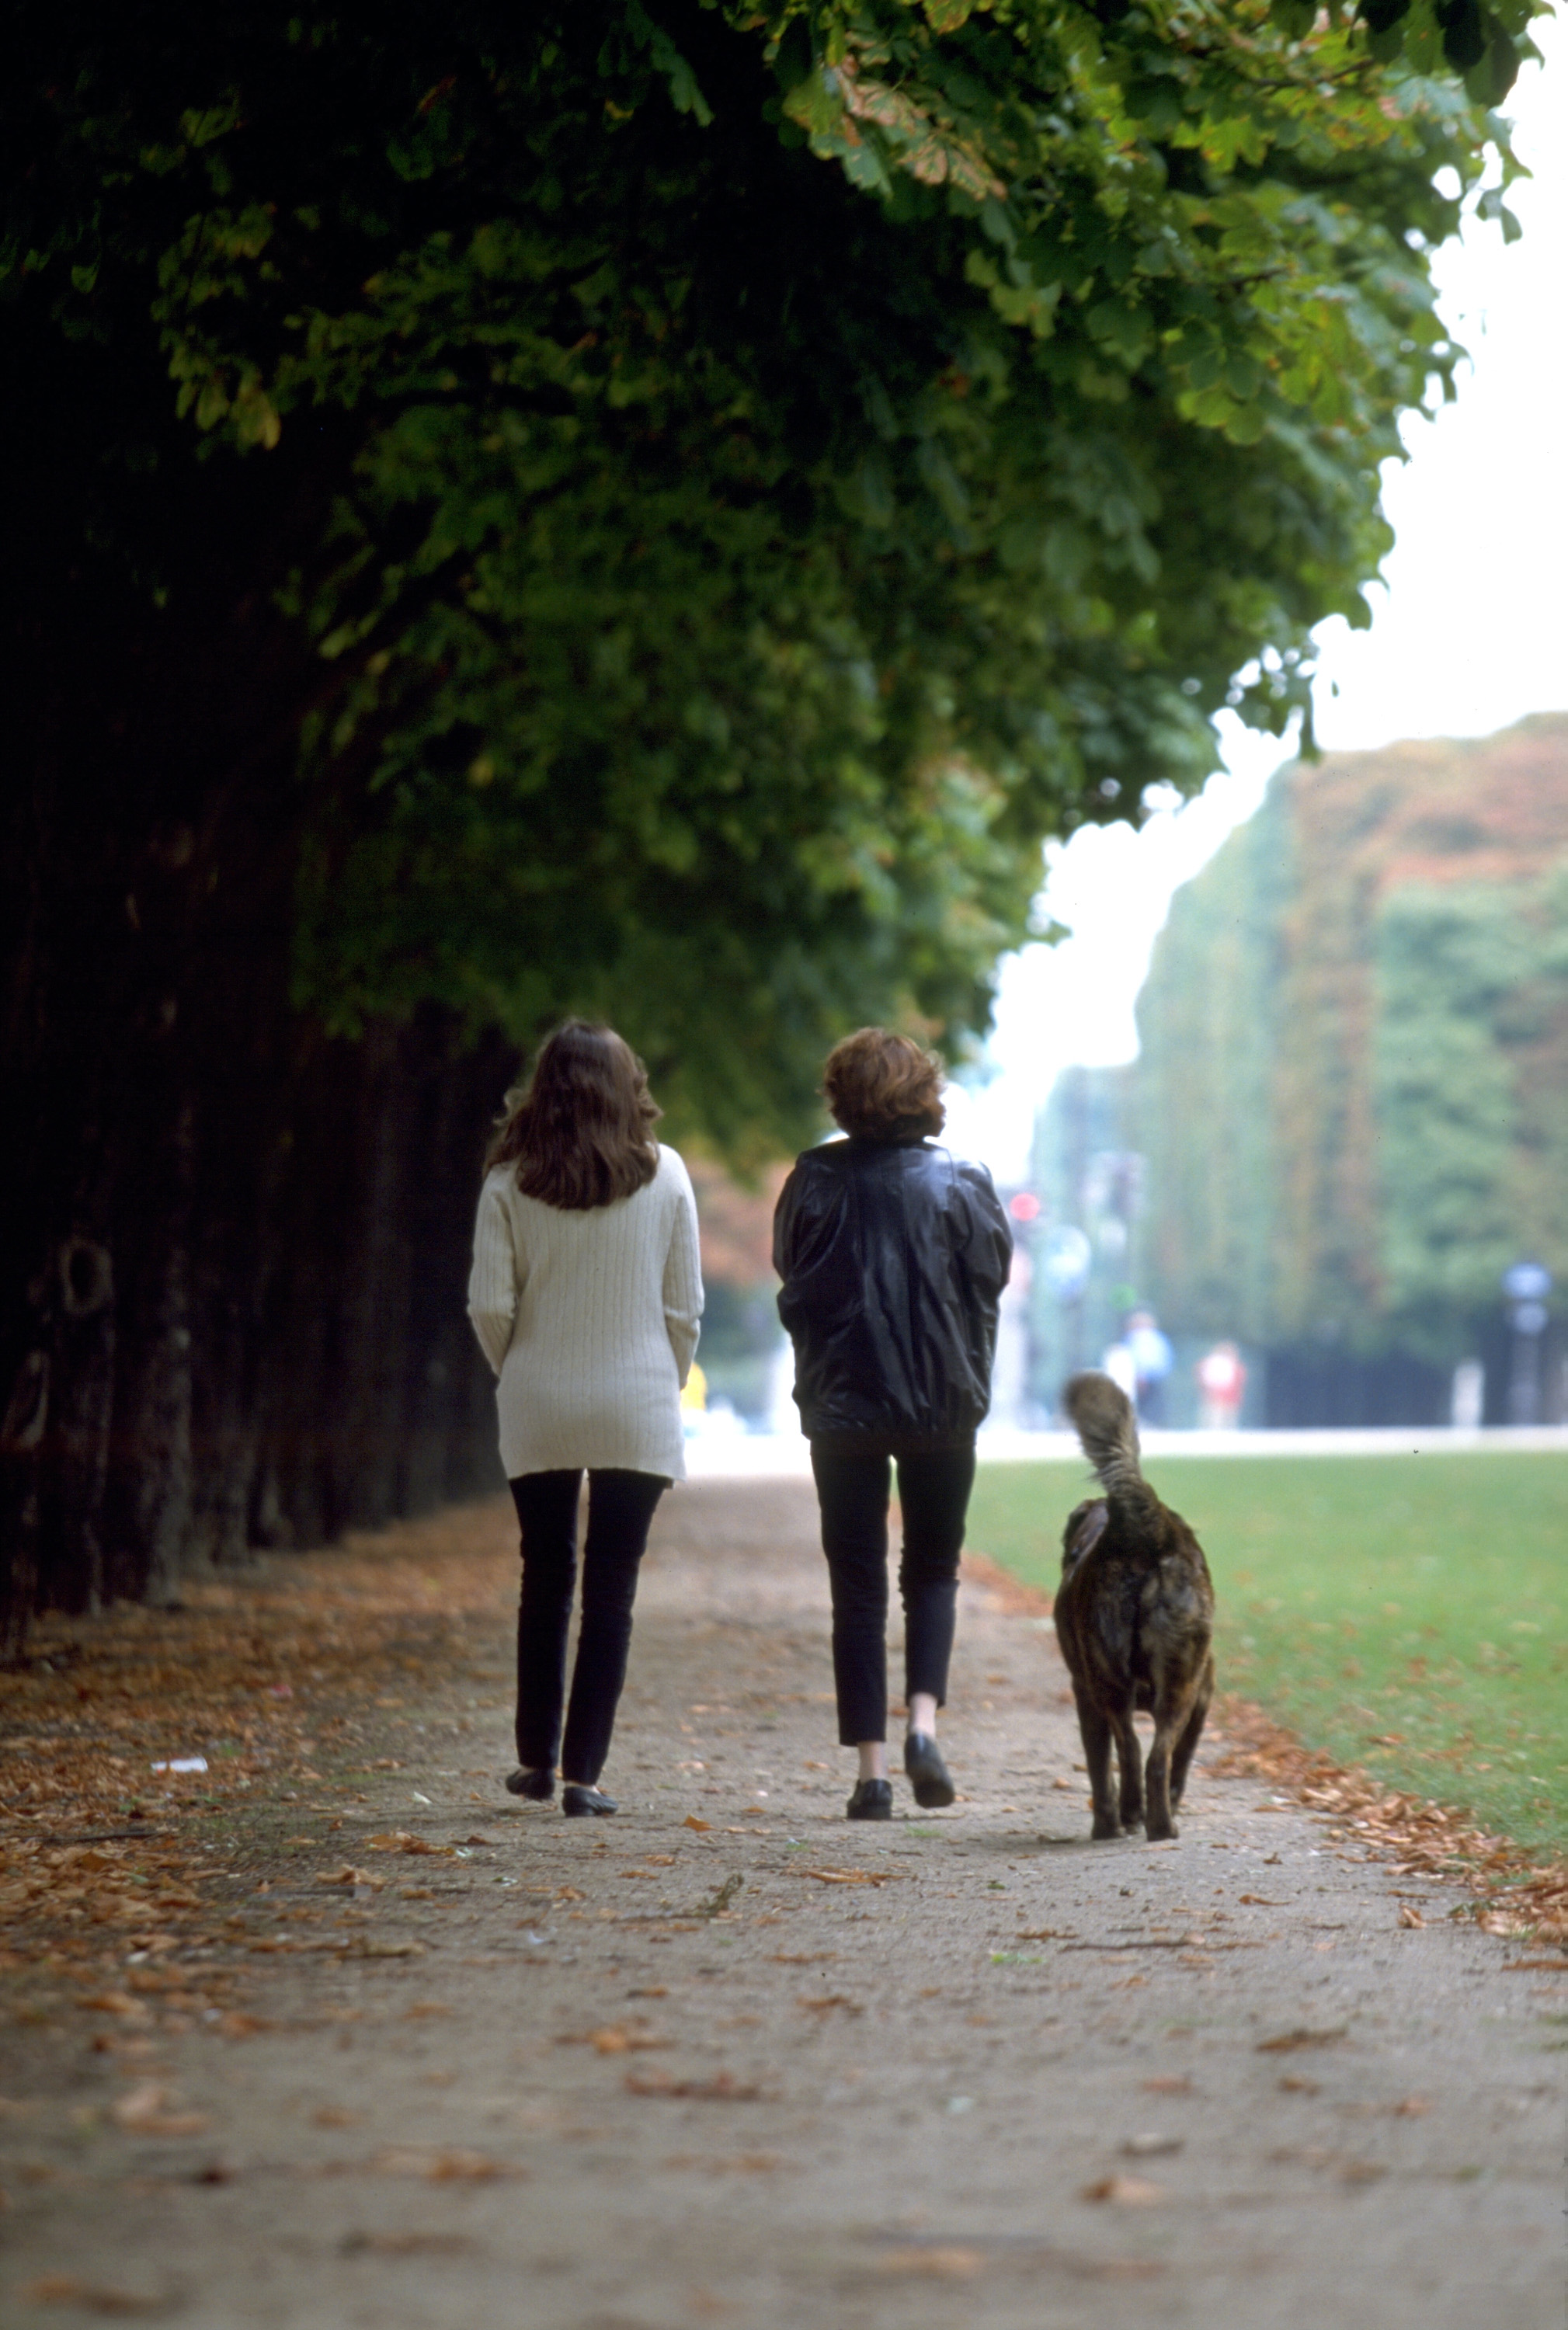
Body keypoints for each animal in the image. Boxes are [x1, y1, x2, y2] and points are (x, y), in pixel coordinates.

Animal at [1044, 1361, 1221, 1836]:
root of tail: (1144, 1527)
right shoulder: (1200, 1697)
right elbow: (1175, 1762)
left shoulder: (1085, 1696)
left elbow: (1099, 1767)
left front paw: (1106, 1821)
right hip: (1177, 1681)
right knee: (1154, 1756)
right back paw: (1159, 1824)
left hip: (1120, 1683)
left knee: (1134, 1751)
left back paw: (1129, 1820)